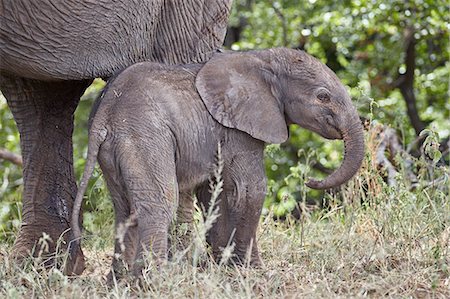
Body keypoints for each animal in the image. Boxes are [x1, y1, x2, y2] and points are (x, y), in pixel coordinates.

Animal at [70, 47, 366, 278]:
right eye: (323, 96)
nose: (310, 180)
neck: (262, 58)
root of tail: (105, 112)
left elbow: (217, 193)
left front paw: (225, 266)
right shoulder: (239, 130)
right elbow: (250, 191)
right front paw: (252, 271)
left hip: (114, 148)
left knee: (124, 210)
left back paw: (121, 284)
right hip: (144, 134)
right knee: (160, 203)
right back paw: (155, 282)